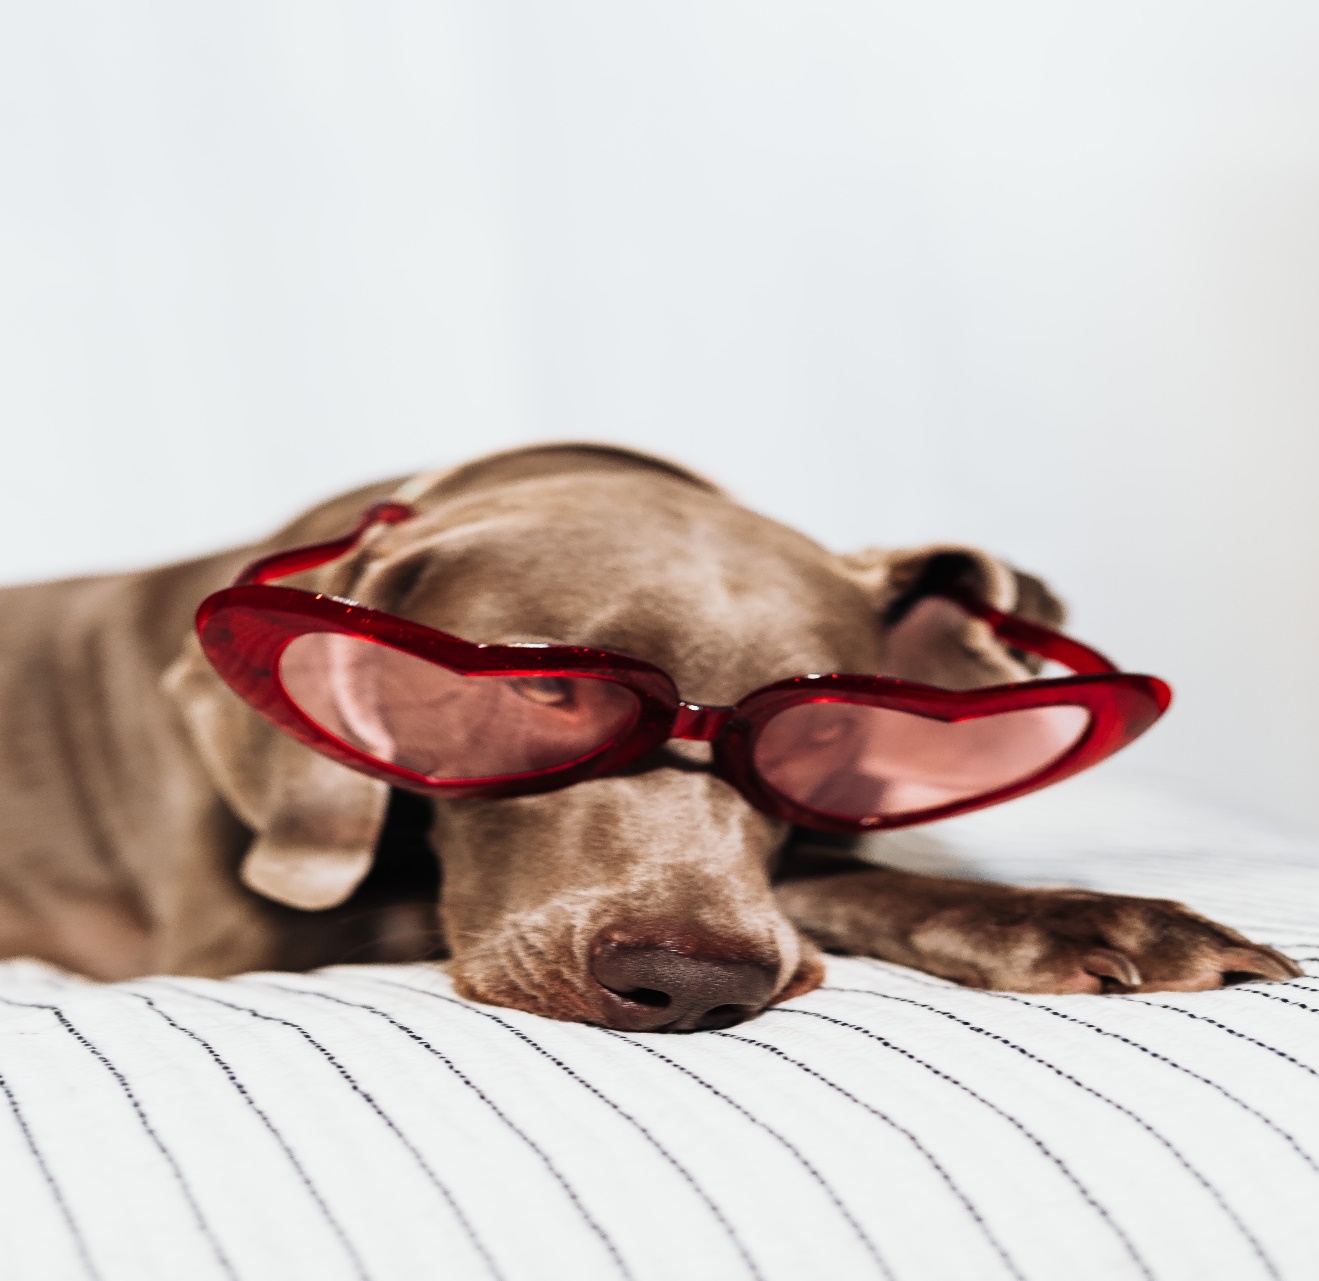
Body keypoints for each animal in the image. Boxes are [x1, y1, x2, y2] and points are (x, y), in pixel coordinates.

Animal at [0, 443, 1297, 1034]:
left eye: (818, 732)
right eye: (545, 690)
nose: (689, 983)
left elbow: (838, 875)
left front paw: (1079, 916)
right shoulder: (234, 933)